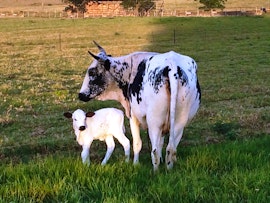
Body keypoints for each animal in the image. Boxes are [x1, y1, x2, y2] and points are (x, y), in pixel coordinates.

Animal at [78, 42, 200, 170]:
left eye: (91, 72)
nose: (80, 95)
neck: (129, 69)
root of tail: (172, 65)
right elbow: (160, 143)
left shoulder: (133, 117)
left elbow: (137, 143)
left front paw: (135, 164)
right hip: (179, 122)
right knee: (171, 149)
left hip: (154, 122)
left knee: (155, 151)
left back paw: (155, 171)